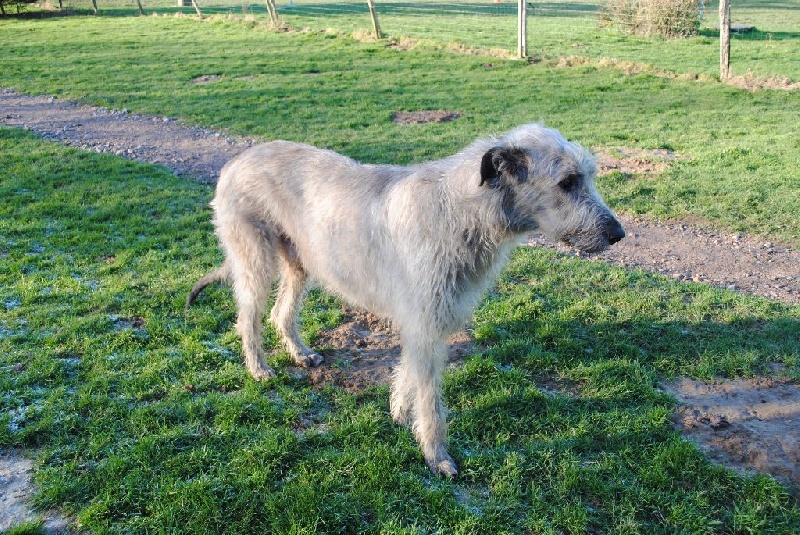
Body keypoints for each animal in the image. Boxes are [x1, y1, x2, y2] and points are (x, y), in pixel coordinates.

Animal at [188, 123, 624, 476]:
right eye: (567, 182)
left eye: (588, 175)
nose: (618, 234)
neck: (462, 212)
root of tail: (235, 161)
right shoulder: (424, 322)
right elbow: (430, 398)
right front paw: (436, 456)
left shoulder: (426, 321)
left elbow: (409, 372)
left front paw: (398, 411)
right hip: (255, 259)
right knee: (248, 317)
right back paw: (258, 368)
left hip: (299, 260)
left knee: (282, 312)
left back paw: (300, 353)